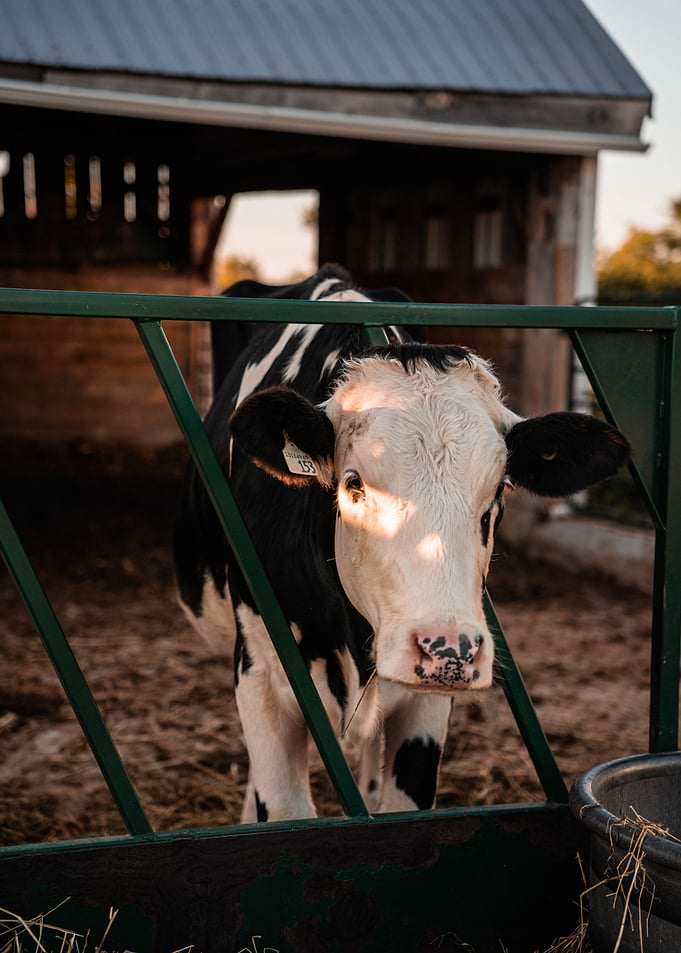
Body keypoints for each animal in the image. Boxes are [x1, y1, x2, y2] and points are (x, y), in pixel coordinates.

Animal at [174, 264, 629, 822]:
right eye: (353, 483)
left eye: (500, 488)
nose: (448, 649)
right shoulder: (258, 669)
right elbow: (282, 808)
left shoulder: (425, 704)